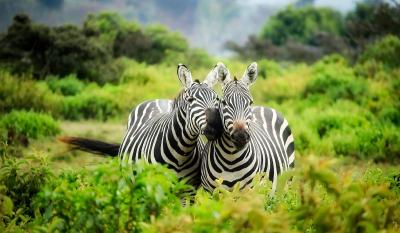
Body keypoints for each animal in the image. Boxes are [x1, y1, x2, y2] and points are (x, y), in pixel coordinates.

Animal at [59, 62, 223, 187]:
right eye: (190, 100)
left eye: (217, 99)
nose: (215, 126)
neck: (181, 152)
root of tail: (158, 99)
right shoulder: (154, 185)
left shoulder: (188, 190)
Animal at [200, 62, 294, 193]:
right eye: (224, 102)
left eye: (250, 102)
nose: (241, 136)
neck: (230, 159)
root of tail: (264, 107)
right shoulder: (209, 192)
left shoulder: (249, 192)